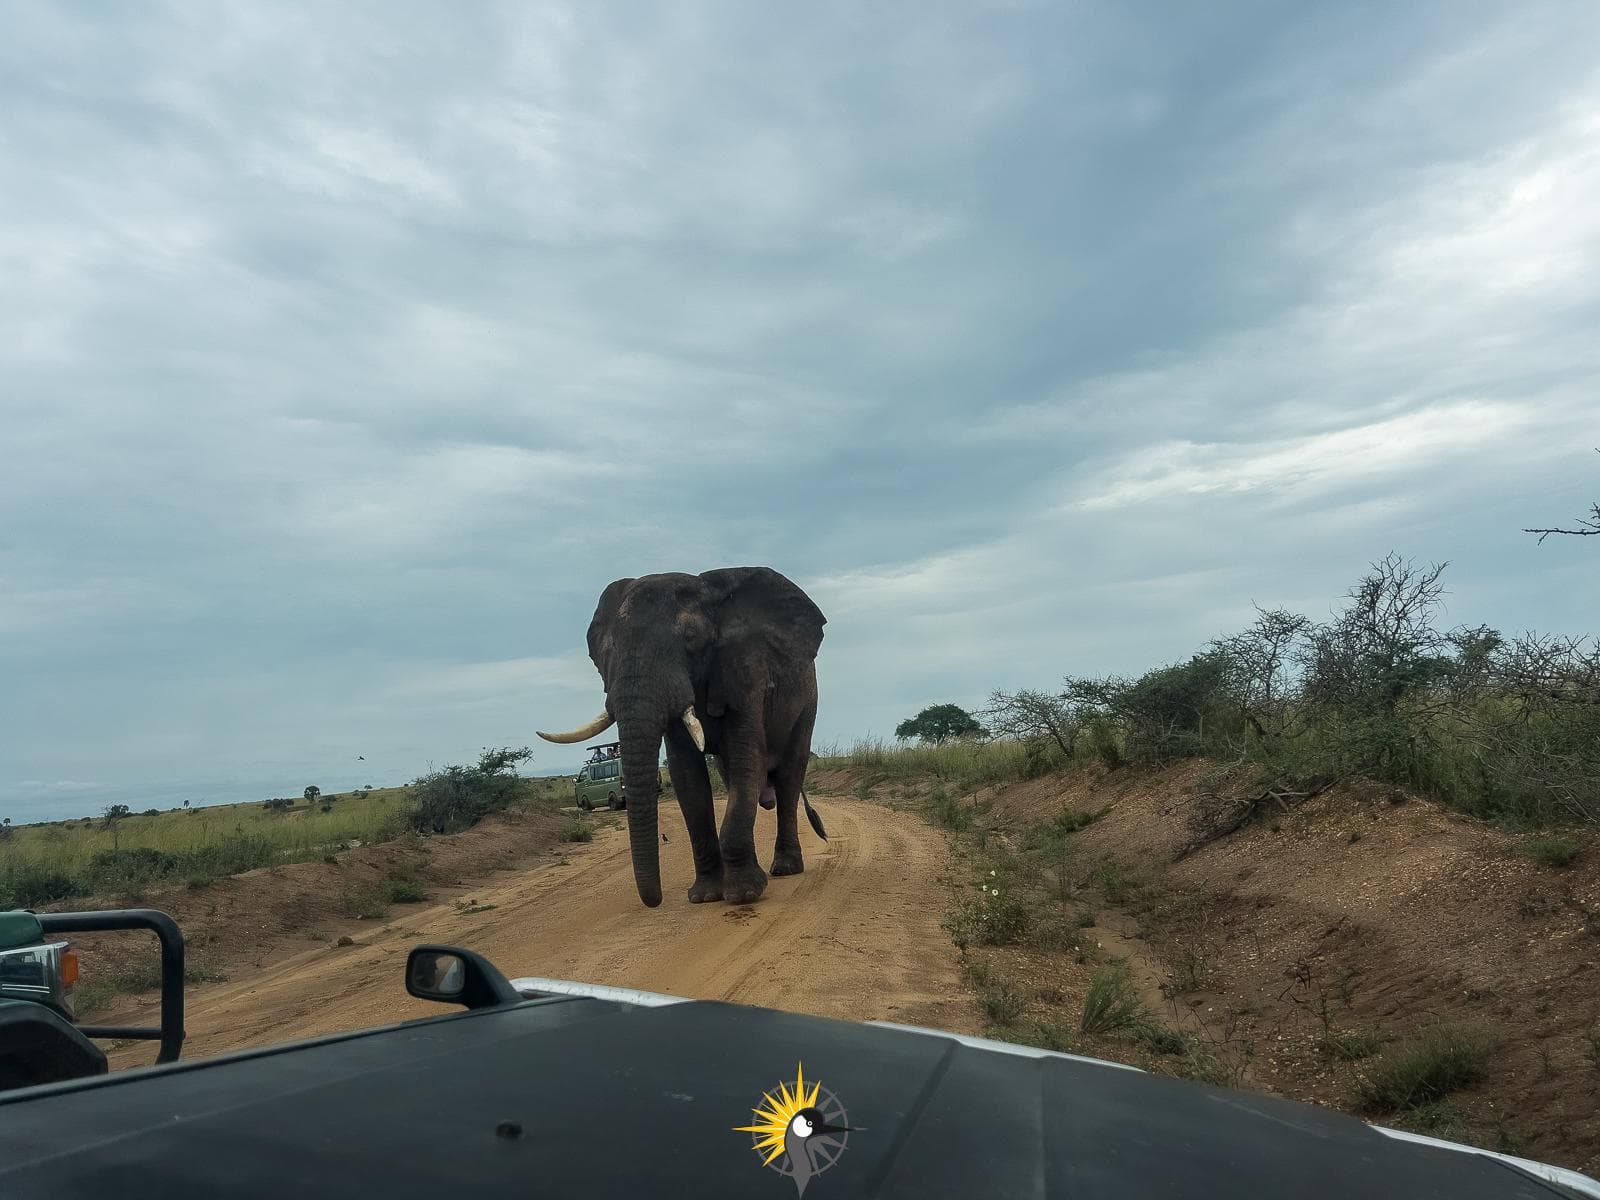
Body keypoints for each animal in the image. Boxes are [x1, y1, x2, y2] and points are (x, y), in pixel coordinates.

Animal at [537, 567, 826, 908]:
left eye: (691, 639)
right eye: (610, 648)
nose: (655, 901)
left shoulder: (747, 672)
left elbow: (746, 759)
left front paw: (743, 894)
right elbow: (687, 776)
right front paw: (706, 896)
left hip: (808, 702)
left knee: (788, 779)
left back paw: (785, 868)